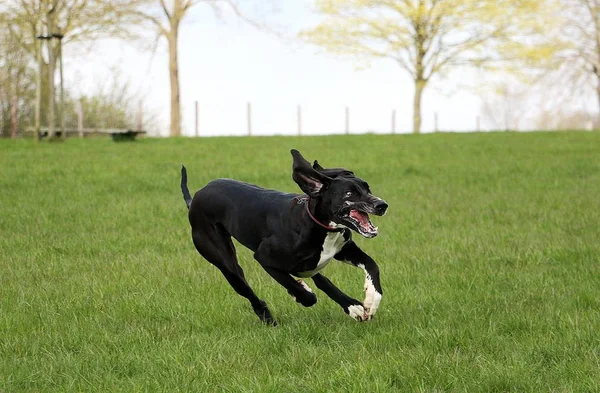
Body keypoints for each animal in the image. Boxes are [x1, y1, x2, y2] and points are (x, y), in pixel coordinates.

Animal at [182, 149, 390, 324]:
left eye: (367, 188)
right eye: (349, 193)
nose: (382, 205)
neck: (315, 223)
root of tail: (196, 197)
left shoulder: (344, 249)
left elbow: (372, 265)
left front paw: (370, 300)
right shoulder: (264, 258)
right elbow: (300, 291)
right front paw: (302, 294)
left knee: (318, 277)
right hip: (227, 264)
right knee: (247, 289)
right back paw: (268, 319)